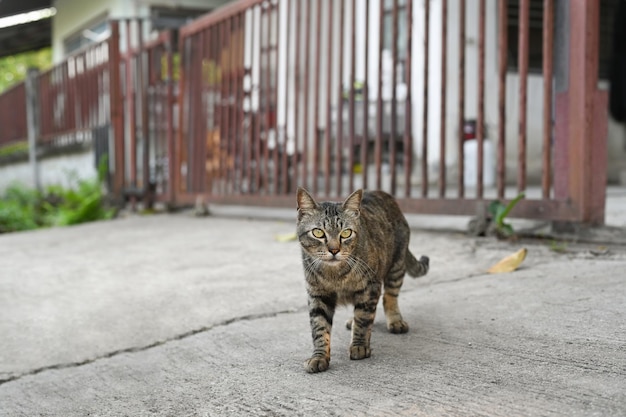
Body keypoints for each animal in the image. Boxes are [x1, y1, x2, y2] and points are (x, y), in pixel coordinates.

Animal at [294, 187, 426, 372]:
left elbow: (364, 318)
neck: (335, 274)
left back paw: (395, 320)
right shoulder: (317, 294)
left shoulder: (370, 287)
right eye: (318, 232)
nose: (334, 250)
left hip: (396, 266)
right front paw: (319, 356)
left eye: (346, 233)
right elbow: (319, 327)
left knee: (389, 297)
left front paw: (359, 345)